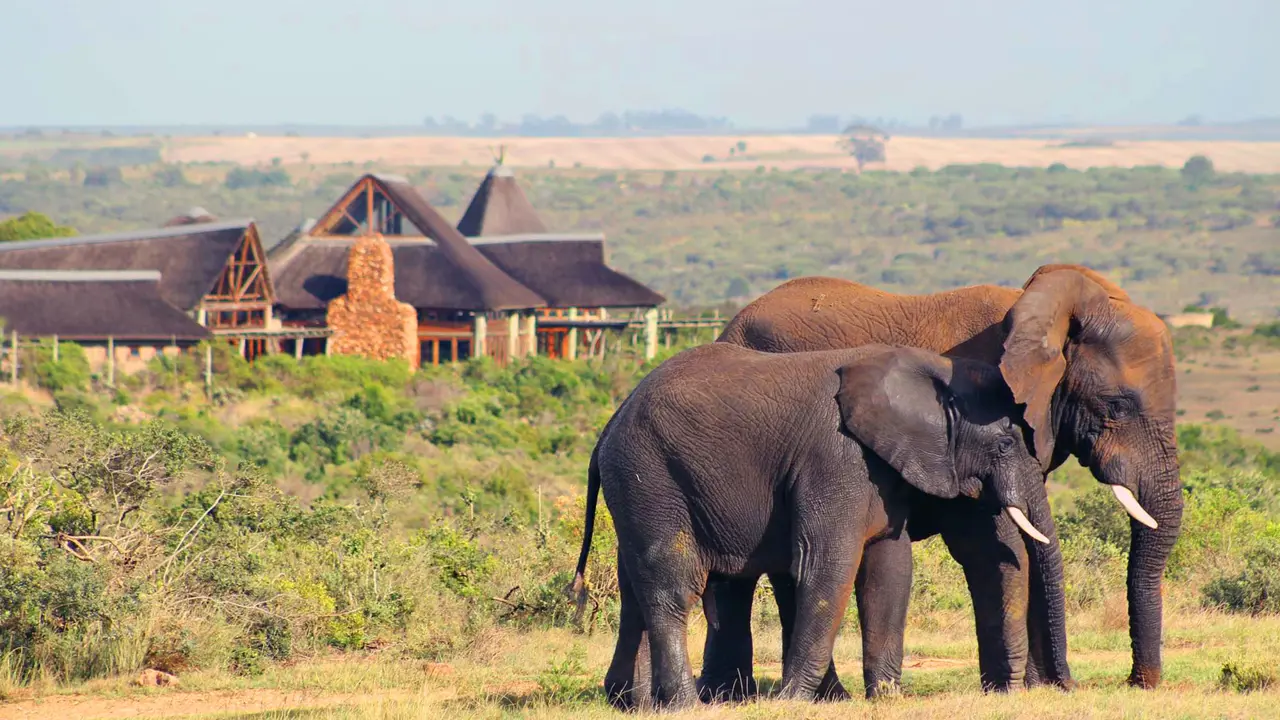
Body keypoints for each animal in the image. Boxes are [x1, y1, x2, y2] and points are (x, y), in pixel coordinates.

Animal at [570, 340, 1049, 707]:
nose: (1008, 691)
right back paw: (685, 706)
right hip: (651, 476)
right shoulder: (835, 459)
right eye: (1005, 444)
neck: (922, 366)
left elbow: (889, 570)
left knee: (634, 587)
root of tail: (607, 428)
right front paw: (793, 700)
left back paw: (633, 705)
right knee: (671, 585)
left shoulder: (882, 469)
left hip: (640, 489)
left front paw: (887, 698)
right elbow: (826, 566)